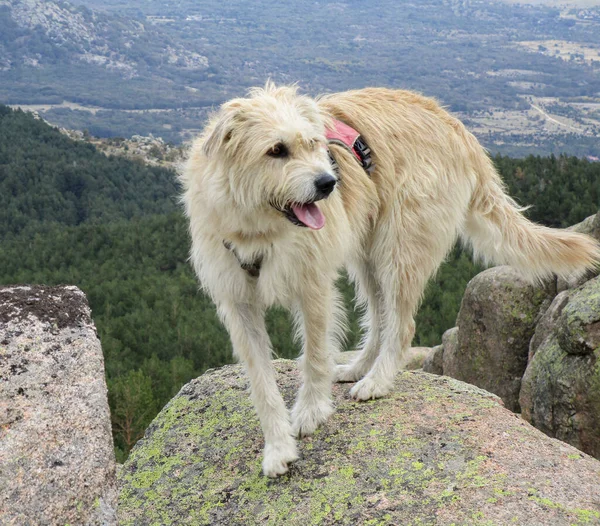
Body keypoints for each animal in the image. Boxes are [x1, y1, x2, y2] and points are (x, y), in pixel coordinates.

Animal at [179, 82, 600, 478]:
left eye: (314, 144)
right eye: (276, 150)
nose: (328, 183)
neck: (258, 230)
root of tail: (457, 127)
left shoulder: (313, 286)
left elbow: (314, 357)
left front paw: (311, 412)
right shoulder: (239, 304)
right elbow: (262, 384)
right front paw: (277, 448)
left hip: (400, 248)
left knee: (401, 323)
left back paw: (377, 382)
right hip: (367, 252)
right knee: (380, 317)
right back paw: (357, 368)